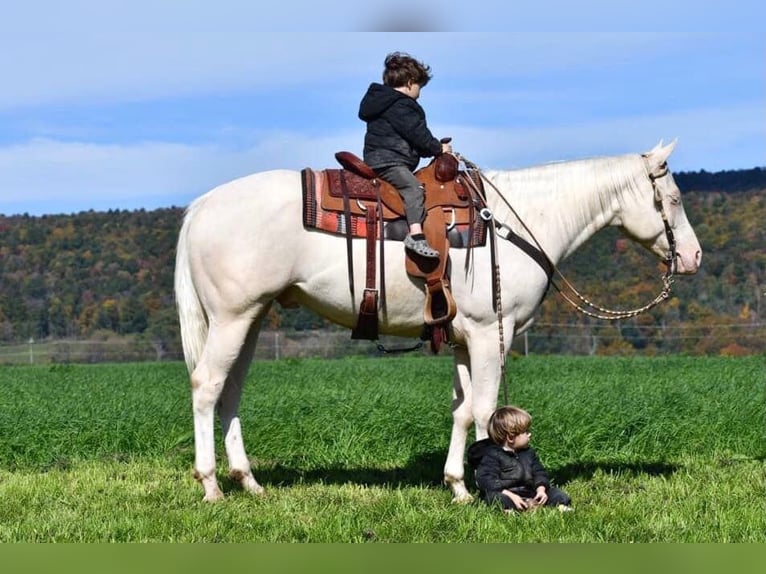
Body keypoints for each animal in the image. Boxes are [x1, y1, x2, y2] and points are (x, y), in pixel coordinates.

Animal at [174, 141, 704, 504]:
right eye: (675, 198)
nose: (694, 257)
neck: (516, 224)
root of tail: (200, 206)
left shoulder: (465, 340)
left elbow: (463, 410)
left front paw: (458, 485)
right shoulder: (492, 334)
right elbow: (487, 409)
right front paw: (490, 491)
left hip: (251, 318)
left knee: (231, 391)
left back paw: (249, 481)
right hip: (232, 317)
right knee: (206, 385)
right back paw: (211, 485)